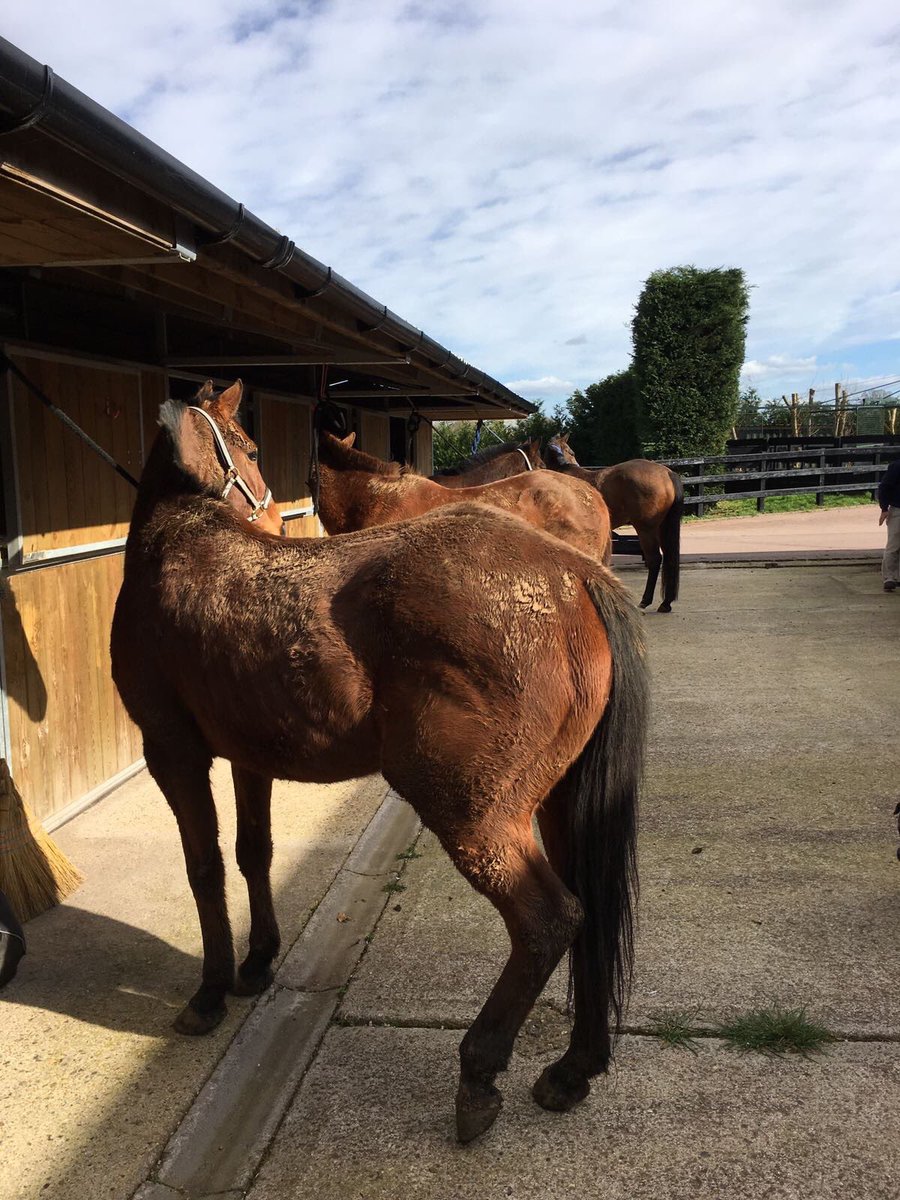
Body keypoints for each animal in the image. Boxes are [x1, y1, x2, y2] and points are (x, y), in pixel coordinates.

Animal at [545, 434, 684, 614]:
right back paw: (666, 602)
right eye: (572, 452)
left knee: (654, 559)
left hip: (646, 529)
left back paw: (645, 601)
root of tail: (667, 473)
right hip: (662, 528)